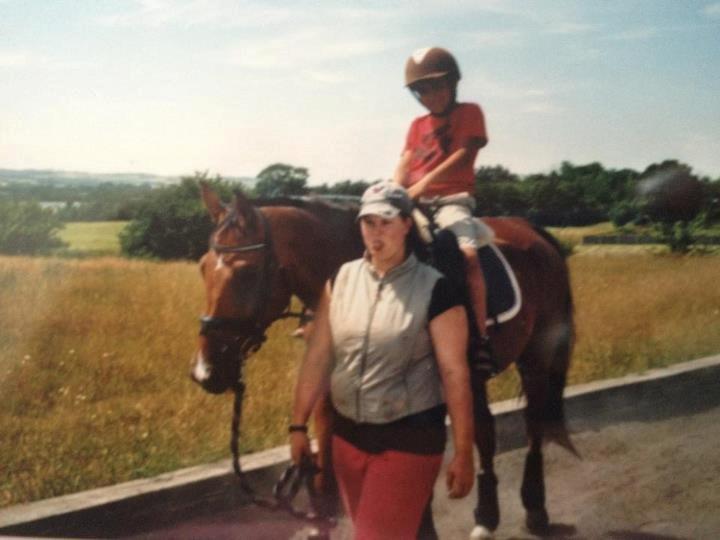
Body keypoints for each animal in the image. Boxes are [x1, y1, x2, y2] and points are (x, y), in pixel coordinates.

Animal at [190, 184, 572, 536]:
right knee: (484, 429)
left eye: (245, 273)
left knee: (534, 424)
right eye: (203, 268)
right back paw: (487, 516)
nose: (205, 372)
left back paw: (535, 509)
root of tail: (531, 230)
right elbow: (324, 469)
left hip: (535, 359)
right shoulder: (328, 388)